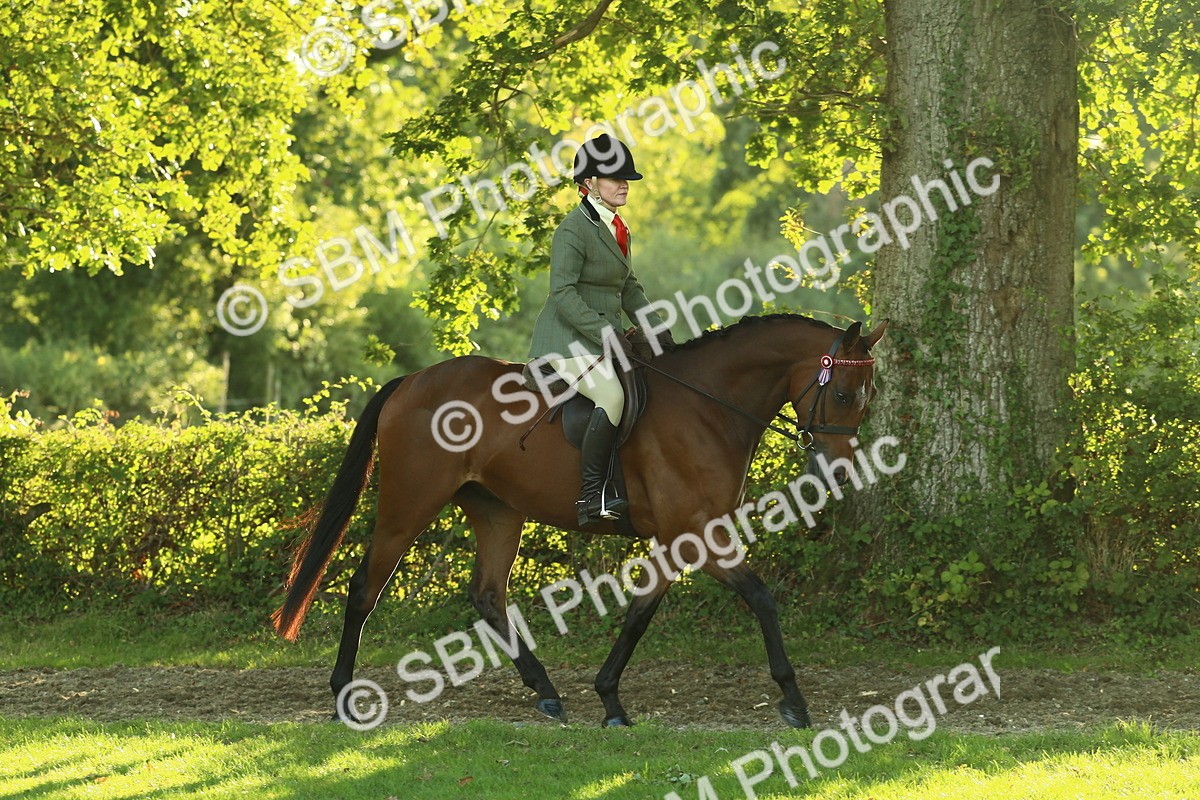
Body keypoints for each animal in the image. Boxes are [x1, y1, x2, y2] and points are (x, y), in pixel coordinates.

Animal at [272, 313, 888, 728]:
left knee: (488, 595)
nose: (839, 470)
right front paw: (793, 700)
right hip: (409, 504)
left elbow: (640, 613)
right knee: (364, 589)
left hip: (498, 510)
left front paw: (609, 697)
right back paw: (343, 696)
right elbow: (761, 597)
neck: (710, 407)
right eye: (843, 393)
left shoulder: (678, 539)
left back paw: (546, 690)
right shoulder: (698, 535)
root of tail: (412, 381)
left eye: (868, 396)